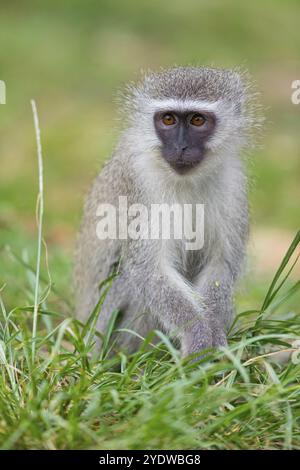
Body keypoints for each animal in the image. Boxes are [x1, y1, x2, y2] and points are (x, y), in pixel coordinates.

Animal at [74, 66, 258, 358]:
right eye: (168, 119)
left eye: (197, 120)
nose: (180, 147)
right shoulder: (138, 182)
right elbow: (149, 270)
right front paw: (198, 336)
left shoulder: (233, 183)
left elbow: (221, 264)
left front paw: (214, 332)